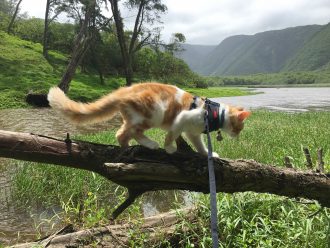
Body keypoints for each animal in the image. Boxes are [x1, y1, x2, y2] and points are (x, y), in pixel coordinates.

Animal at [47, 82, 250, 158]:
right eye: (239, 128)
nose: (238, 136)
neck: (214, 113)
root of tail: (124, 90)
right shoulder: (182, 118)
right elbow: (171, 134)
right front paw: (170, 148)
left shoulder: (193, 133)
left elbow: (199, 146)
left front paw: (208, 154)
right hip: (153, 113)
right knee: (123, 134)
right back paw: (148, 144)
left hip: (136, 117)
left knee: (125, 132)